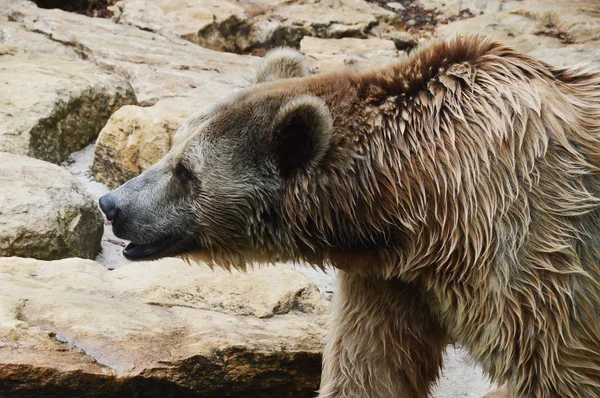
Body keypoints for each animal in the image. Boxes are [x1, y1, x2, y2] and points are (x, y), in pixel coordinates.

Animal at [98, 35, 600, 396]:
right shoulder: (393, 278)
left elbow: (555, 369)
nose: (113, 205)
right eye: (172, 145)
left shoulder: (532, 252)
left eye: (187, 170)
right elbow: (369, 365)